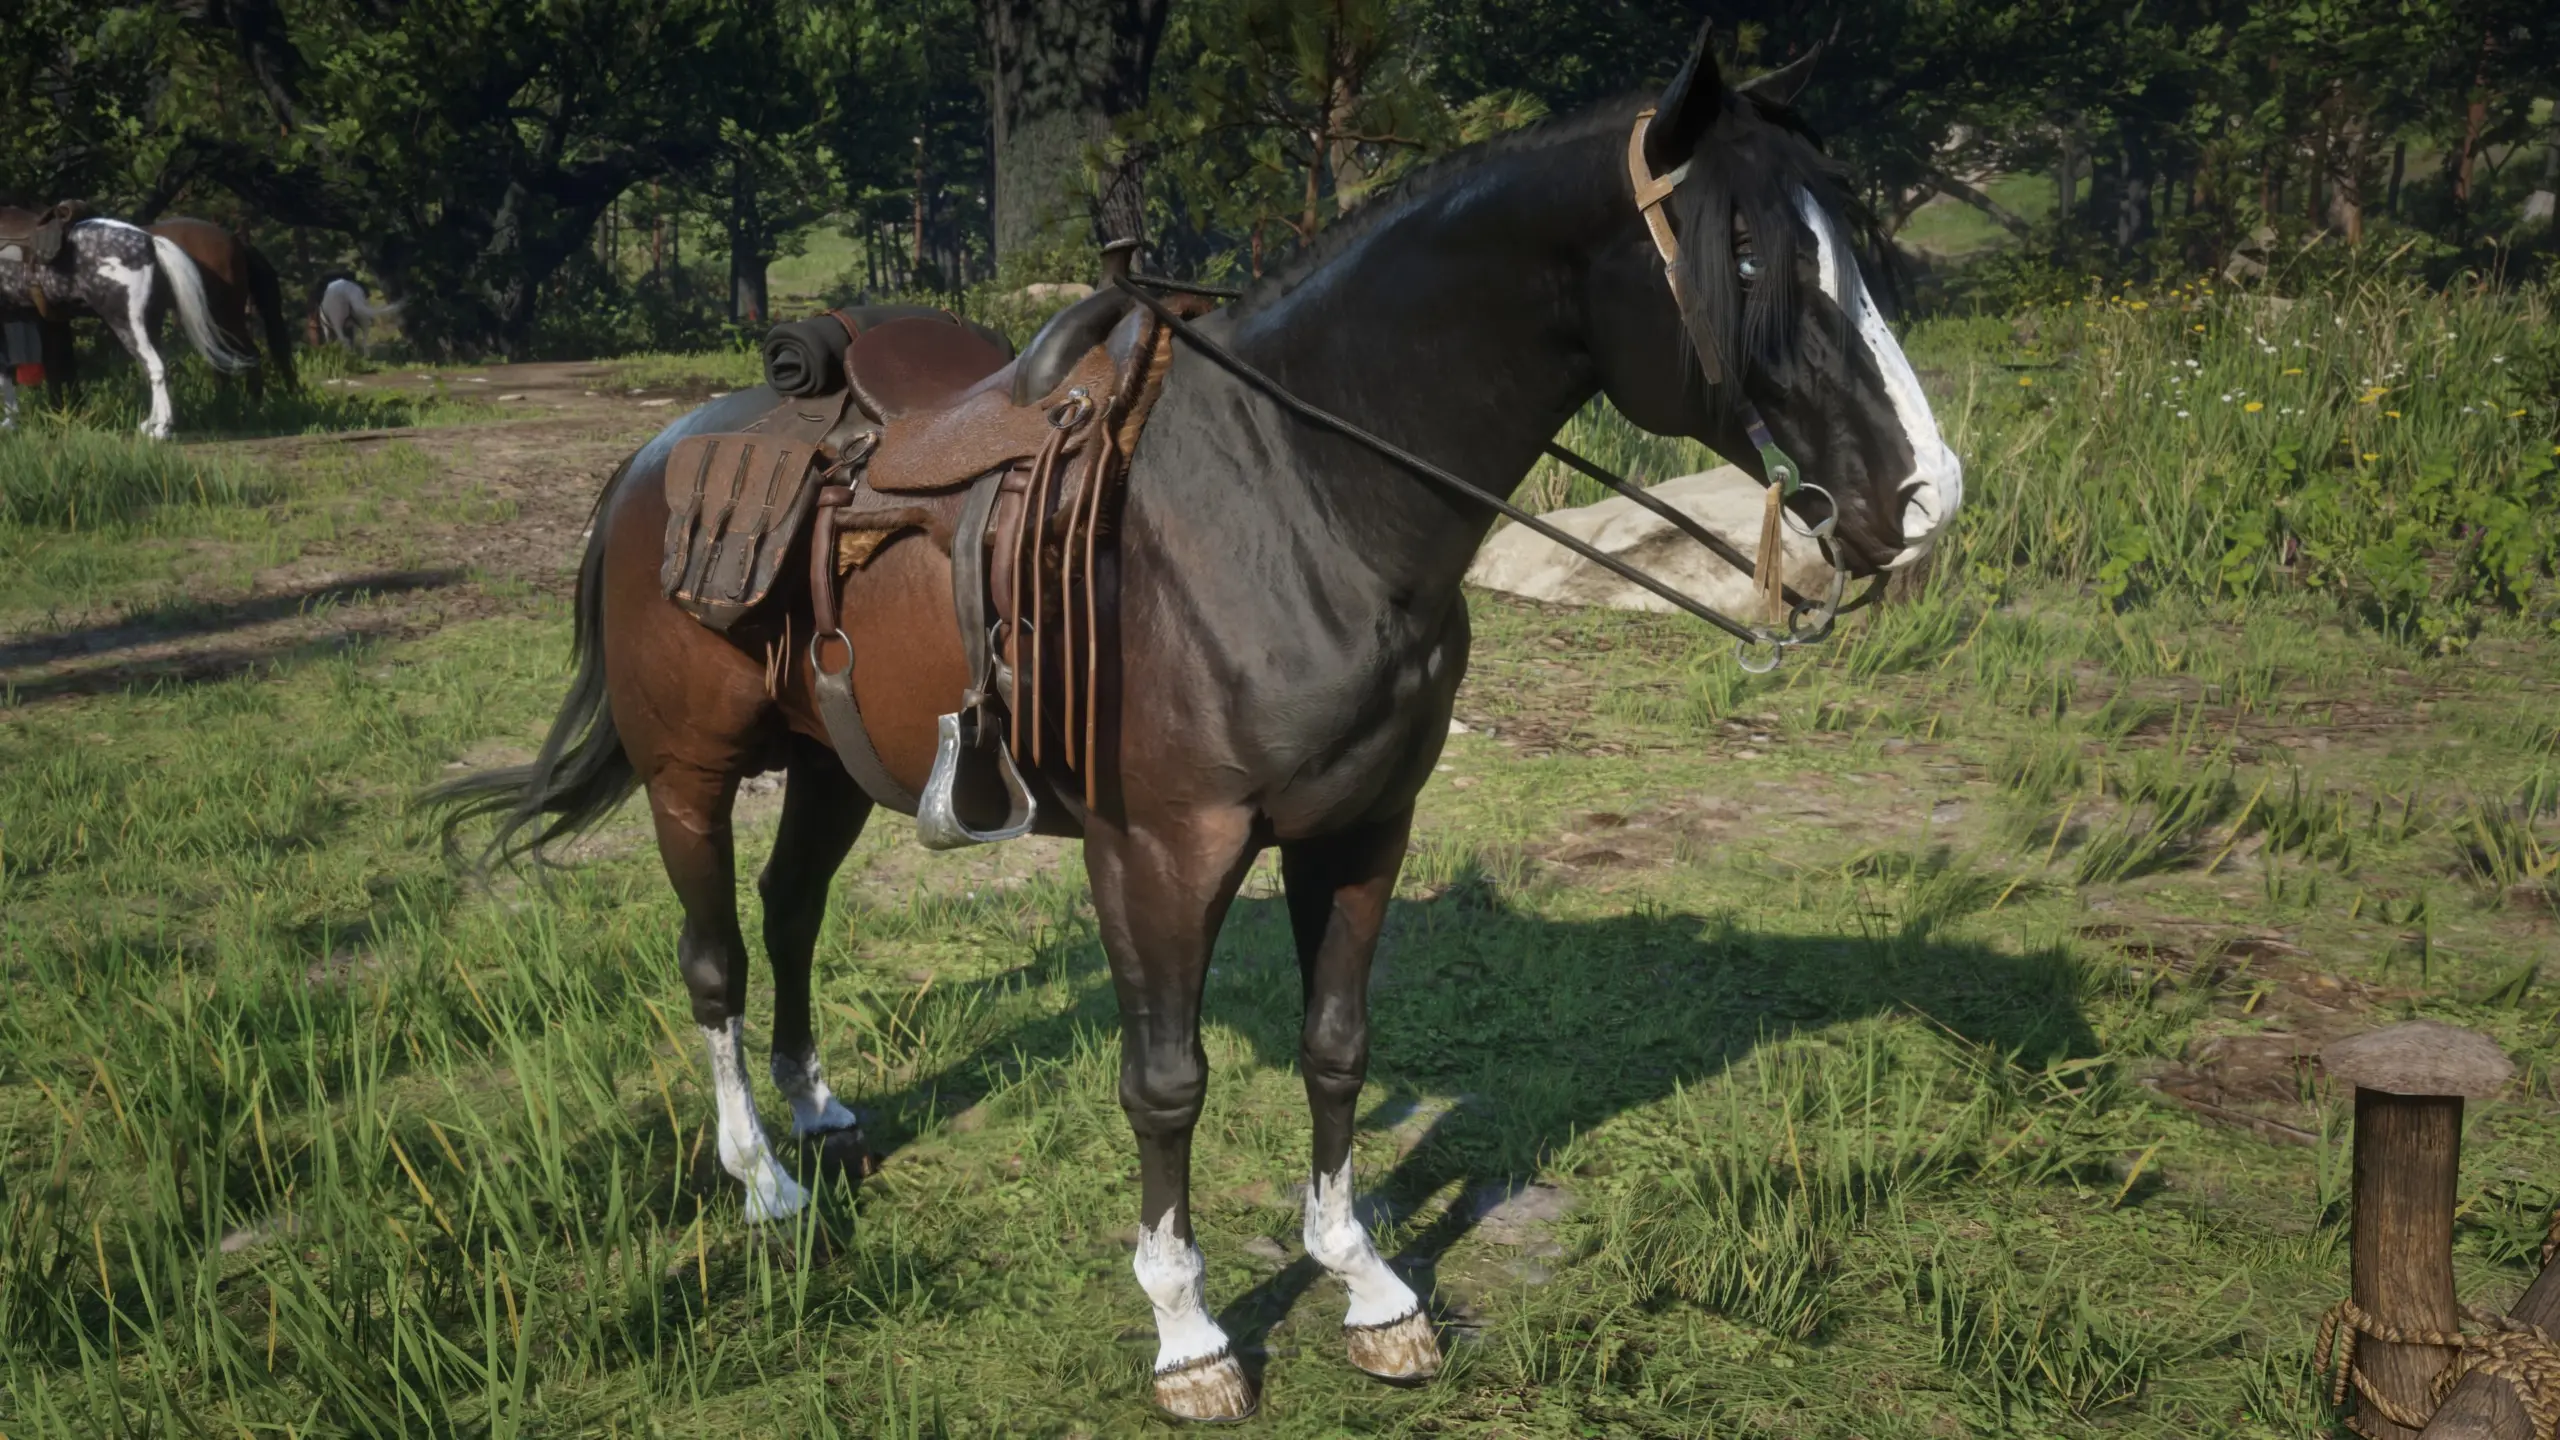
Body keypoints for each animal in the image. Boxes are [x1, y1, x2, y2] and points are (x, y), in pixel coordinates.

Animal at [0, 210, 260, 438]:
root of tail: (150, 242)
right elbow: (8, 375)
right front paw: (11, 423)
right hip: (152, 322)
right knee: (159, 367)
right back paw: (152, 424)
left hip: (128, 321)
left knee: (155, 366)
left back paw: (161, 429)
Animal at [433, 22, 1960, 1421]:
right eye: (1748, 264)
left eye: (1855, 249)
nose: (1923, 499)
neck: (1298, 498)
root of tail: (656, 456)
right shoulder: (1163, 852)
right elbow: (1164, 1084)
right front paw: (1188, 1334)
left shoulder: (1363, 828)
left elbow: (1336, 1046)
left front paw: (1366, 1285)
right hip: (689, 776)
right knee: (718, 962)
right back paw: (761, 1178)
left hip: (830, 766)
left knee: (793, 910)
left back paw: (819, 1114)